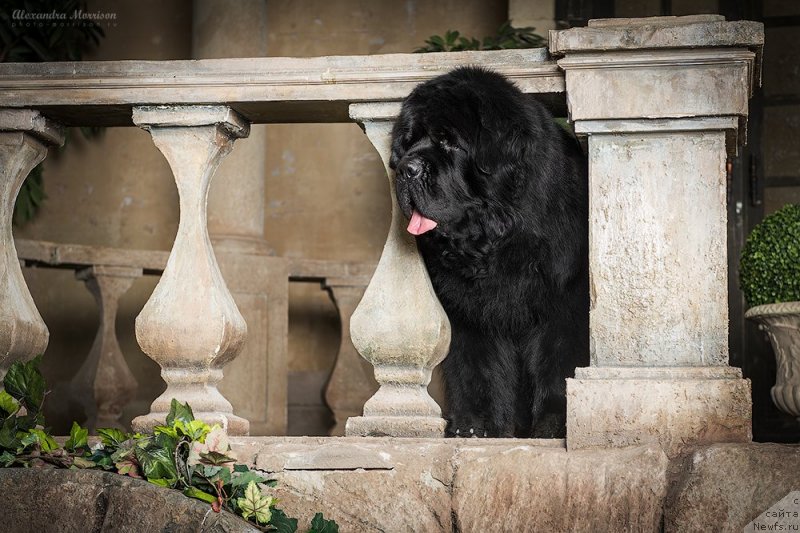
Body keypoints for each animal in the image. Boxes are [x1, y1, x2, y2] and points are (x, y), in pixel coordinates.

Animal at [390, 67, 592, 436]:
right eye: (409, 142)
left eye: (449, 141)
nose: (406, 170)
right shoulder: (468, 311)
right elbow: (478, 368)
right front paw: (476, 424)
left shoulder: (563, 304)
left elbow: (558, 365)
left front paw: (556, 423)